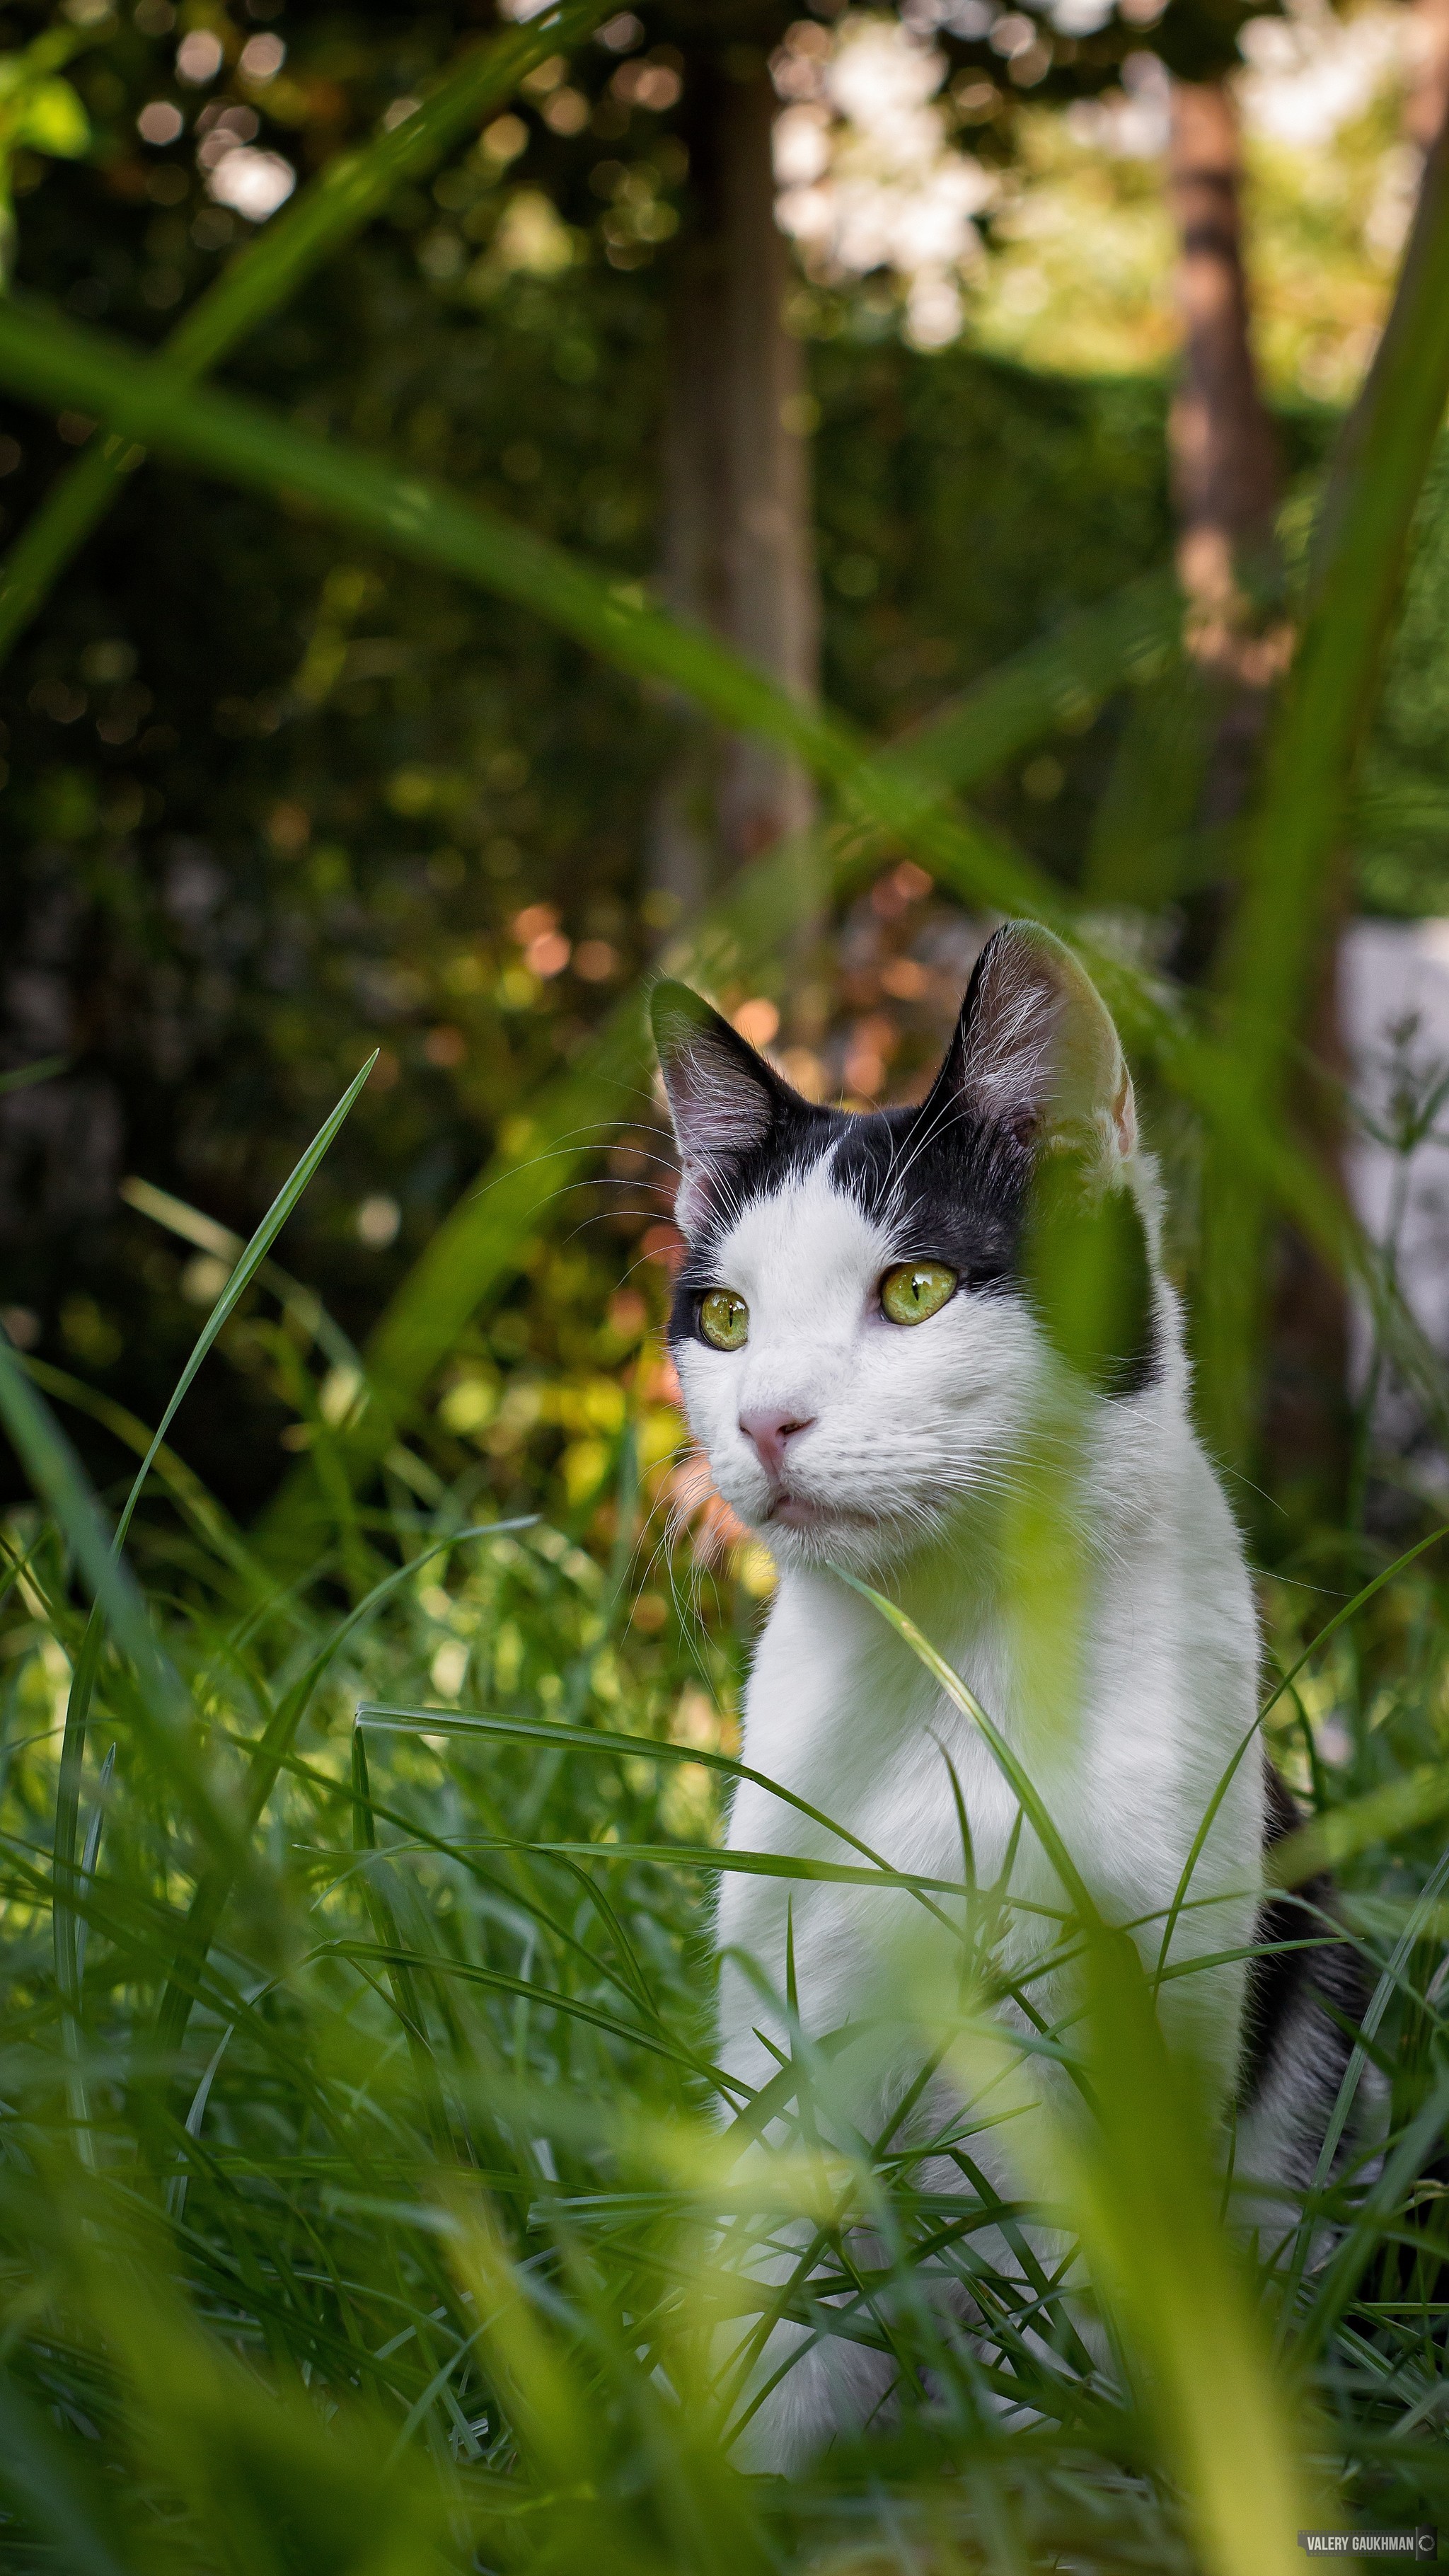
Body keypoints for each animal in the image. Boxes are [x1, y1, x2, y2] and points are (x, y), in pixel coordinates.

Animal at [651, 916, 1379, 2462]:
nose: (763, 1420)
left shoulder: (1156, 1999)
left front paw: (1050, 2468)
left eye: (915, 1289)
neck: (954, 1664)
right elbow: (781, 2318)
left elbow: (1074, 2311)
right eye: (724, 1317)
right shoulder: (788, 2027)